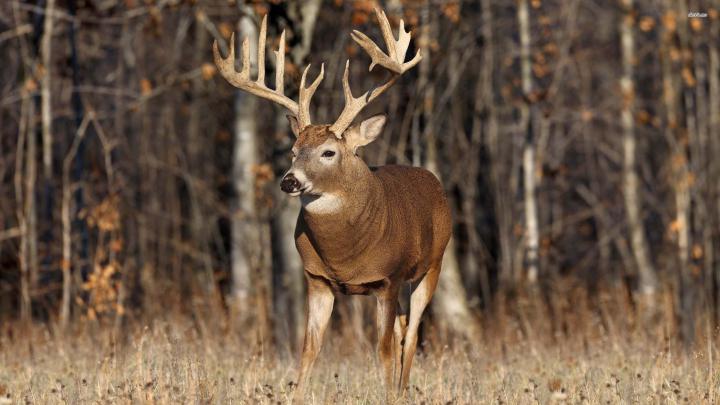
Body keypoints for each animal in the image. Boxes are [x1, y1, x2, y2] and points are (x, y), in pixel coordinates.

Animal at [213, 7, 451, 401]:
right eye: (294, 150)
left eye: (329, 152)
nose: (289, 180)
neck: (345, 255)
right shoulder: (317, 279)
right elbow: (309, 348)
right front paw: (294, 396)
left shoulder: (389, 278)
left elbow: (383, 349)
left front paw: (389, 397)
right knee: (404, 328)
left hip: (431, 266)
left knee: (412, 332)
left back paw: (401, 391)